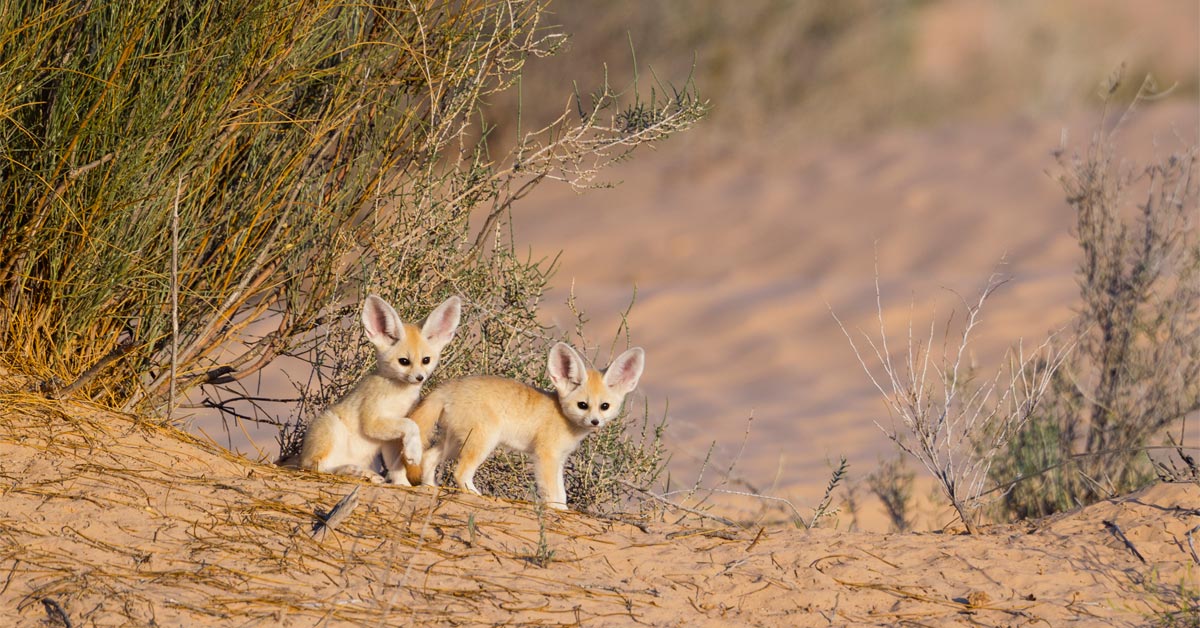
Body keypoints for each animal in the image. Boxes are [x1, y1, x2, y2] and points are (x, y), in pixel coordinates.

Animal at [297, 295, 460, 487]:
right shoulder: (372, 422)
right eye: (404, 361)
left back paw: (367, 474)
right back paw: (353, 470)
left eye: (426, 360)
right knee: (318, 467)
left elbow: (396, 466)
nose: (420, 377)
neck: (400, 394)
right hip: (330, 431)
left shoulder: (391, 438)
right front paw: (414, 452)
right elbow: (411, 425)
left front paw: (403, 484)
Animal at [398, 343, 648, 511]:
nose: (595, 422)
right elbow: (553, 492)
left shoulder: (559, 459)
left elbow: (561, 492)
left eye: (604, 406)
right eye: (583, 405)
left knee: (428, 457)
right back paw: (477, 496)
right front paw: (559, 511)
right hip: (482, 442)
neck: (561, 415)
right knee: (460, 472)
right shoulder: (546, 456)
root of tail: (450, 387)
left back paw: (429, 487)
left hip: (455, 442)